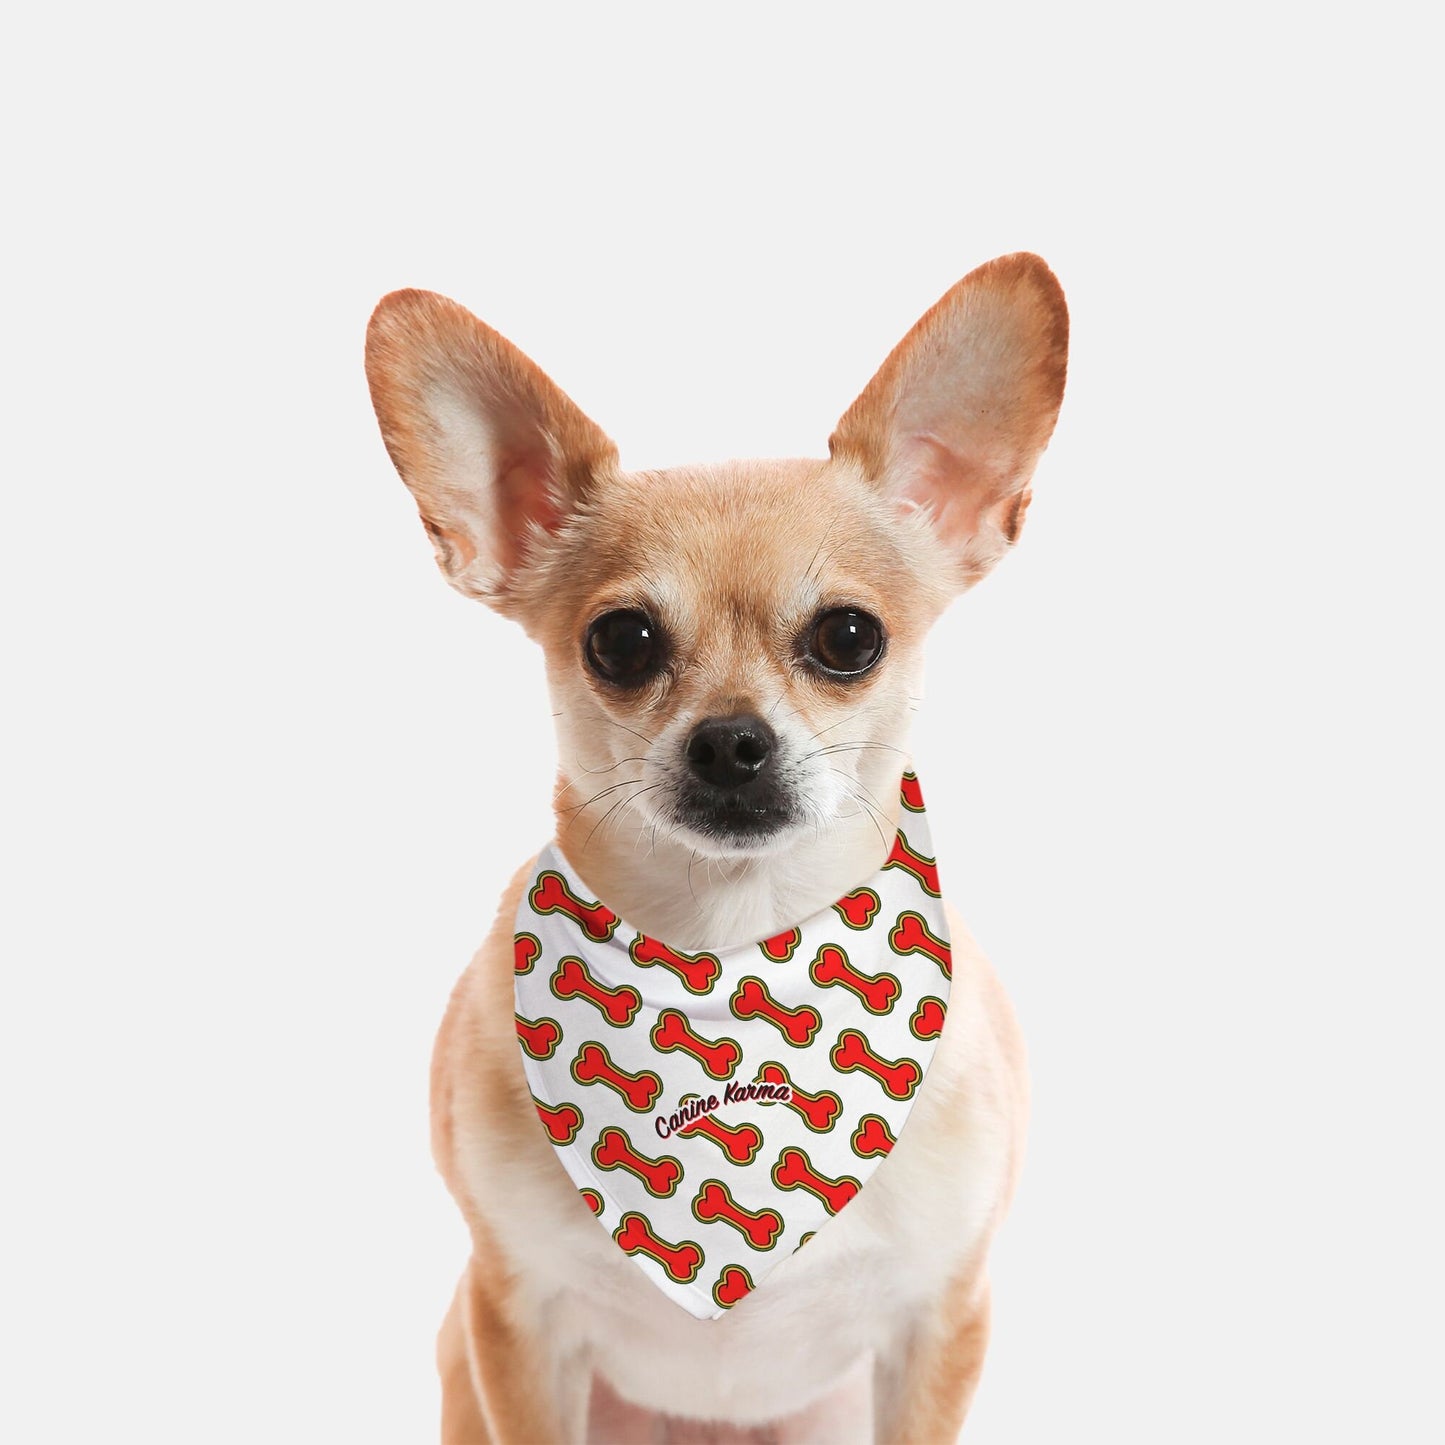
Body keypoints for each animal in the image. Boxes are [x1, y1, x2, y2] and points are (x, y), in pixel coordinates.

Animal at [367, 254, 1069, 1439]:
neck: (729, 954)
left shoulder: (939, 1317)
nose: (732, 739)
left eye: (847, 636)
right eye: (620, 640)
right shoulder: (514, 1319)